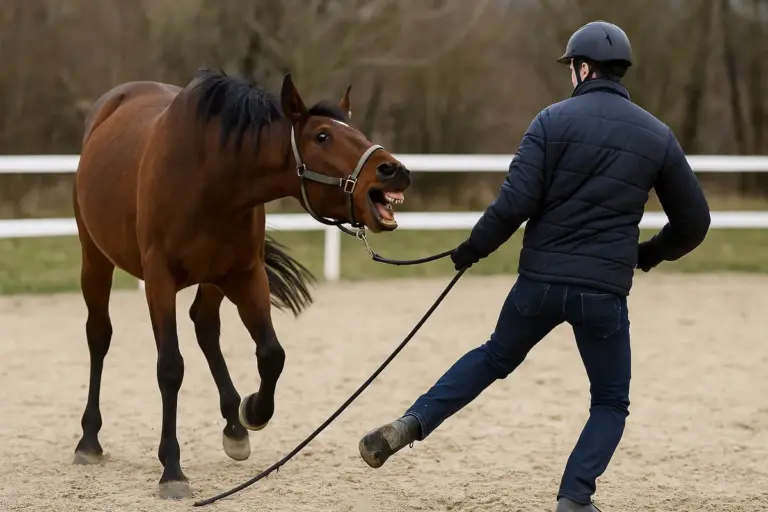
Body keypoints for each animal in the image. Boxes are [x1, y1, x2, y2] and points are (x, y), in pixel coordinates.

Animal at [71, 68, 411, 499]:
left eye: (358, 131)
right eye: (322, 136)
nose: (394, 170)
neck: (210, 176)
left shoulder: (246, 275)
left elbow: (271, 354)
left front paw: (251, 411)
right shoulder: (159, 281)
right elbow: (170, 368)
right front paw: (172, 469)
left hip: (214, 280)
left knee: (204, 325)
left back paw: (234, 428)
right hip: (94, 257)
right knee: (99, 335)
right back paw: (88, 440)